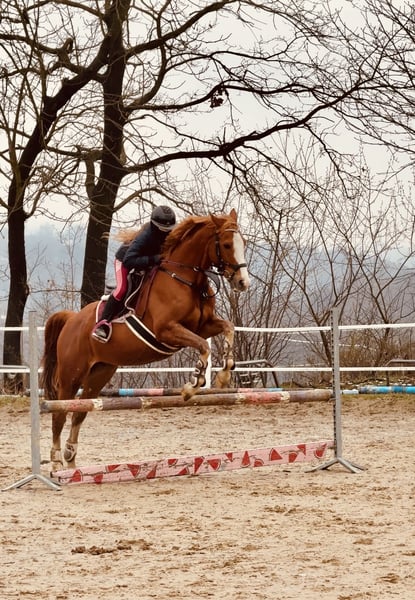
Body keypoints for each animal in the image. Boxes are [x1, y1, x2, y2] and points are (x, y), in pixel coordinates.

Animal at [41, 209, 250, 471]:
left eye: (244, 243)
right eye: (226, 244)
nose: (243, 282)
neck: (184, 278)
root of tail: (71, 319)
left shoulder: (203, 326)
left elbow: (228, 328)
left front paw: (223, 375)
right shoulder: (168, 330)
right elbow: (203, 347)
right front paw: (191, 387)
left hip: (100, 372)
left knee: (80, 411)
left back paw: (71, 462)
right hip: (72, 374)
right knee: (59, 413)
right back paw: (57, 462)